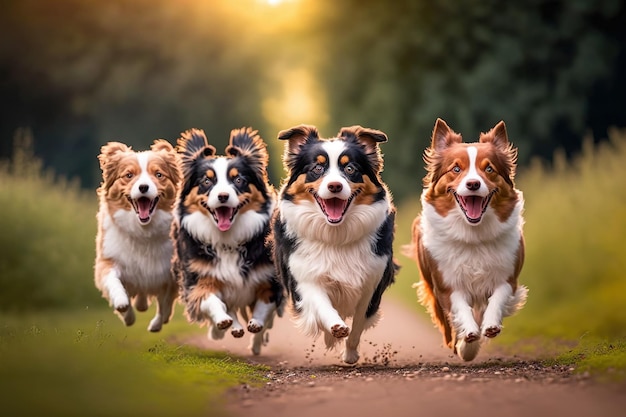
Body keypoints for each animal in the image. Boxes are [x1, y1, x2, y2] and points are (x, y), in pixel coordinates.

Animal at [94, 140, 180, 332]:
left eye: (158, 174)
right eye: (128, 175)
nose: (143, 187)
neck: (143, 231)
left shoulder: (170, 272)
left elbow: (165, 304)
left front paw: (157, 323)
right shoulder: (109, 257)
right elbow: (113, 280)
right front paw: (124, 308)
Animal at [169, 127, 280, 354]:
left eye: (238, 180)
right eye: (206, 181)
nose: (222, 196)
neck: (228, 240)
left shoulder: (268, 278)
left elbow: (264, 305)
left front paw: (257, 325)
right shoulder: (200, 277)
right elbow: (211, 300)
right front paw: (222, 322)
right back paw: (231, 327)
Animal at [272, 124, 398, 364]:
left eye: (349, 168)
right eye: (317, 167)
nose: (335, 186)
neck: (336, 234)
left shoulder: (371, 283)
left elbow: (357, 325)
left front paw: (350, 354)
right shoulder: (304, 275)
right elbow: (322, 304)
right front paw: (335, 328)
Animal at [404, 118, 528, 360]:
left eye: (489, 169)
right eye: (456, 169)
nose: (473, 184)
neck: (473, 235)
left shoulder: (508, 276)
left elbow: (497, 299)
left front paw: (489, 326)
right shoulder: (446, 284)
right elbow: (460, 309)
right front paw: (467, 340)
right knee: (446, 324)